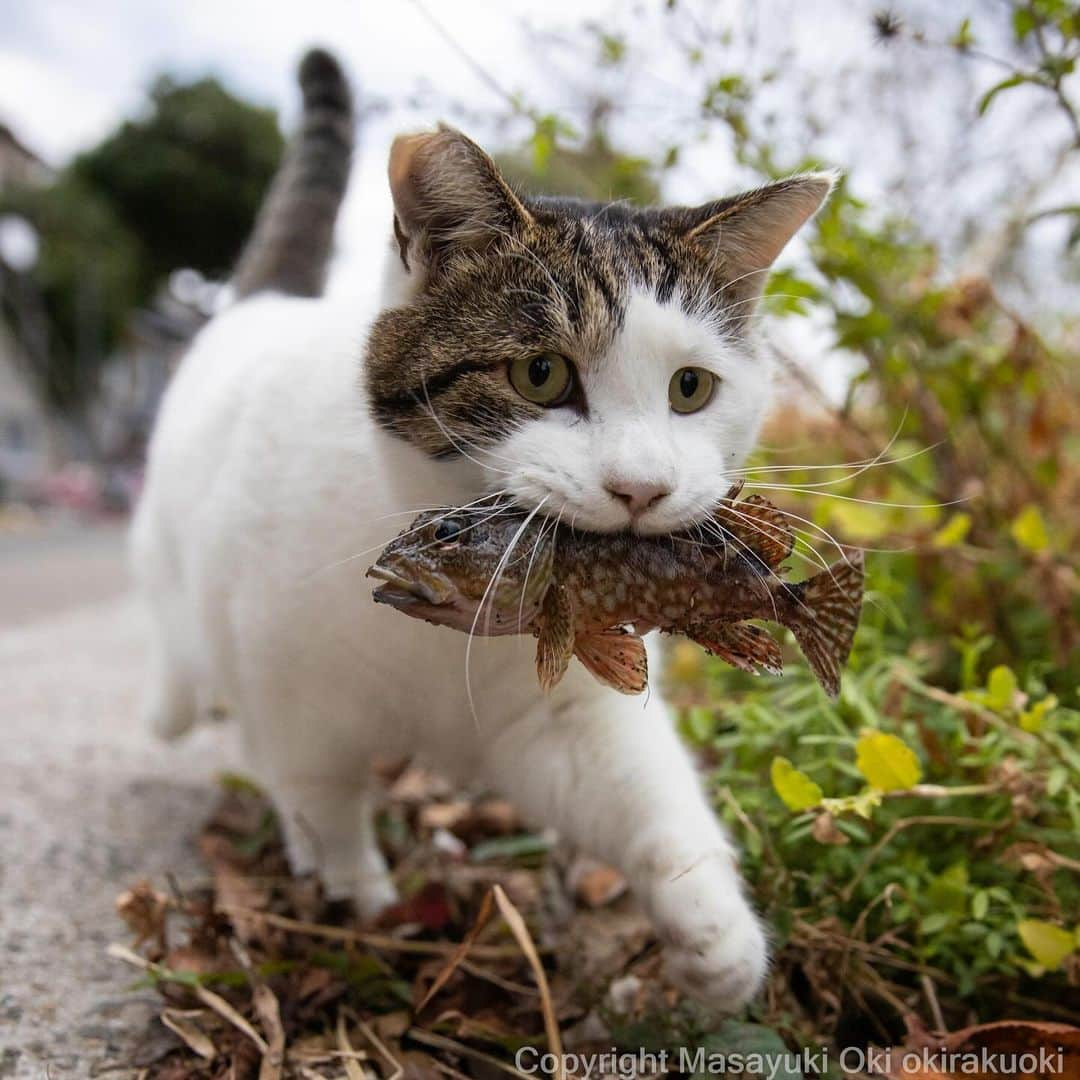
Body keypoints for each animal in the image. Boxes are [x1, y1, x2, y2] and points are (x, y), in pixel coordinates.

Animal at [128, 48, 833, 1010]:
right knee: (178, 641)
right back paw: (175, 710)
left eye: (692, 389)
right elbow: (320, 797)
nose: (642, 488)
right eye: (540, 374)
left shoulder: (562, 712)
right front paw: (358, 898)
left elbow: (644, 793)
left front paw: (716, 937)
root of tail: (261, 306)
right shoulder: (294, 699)